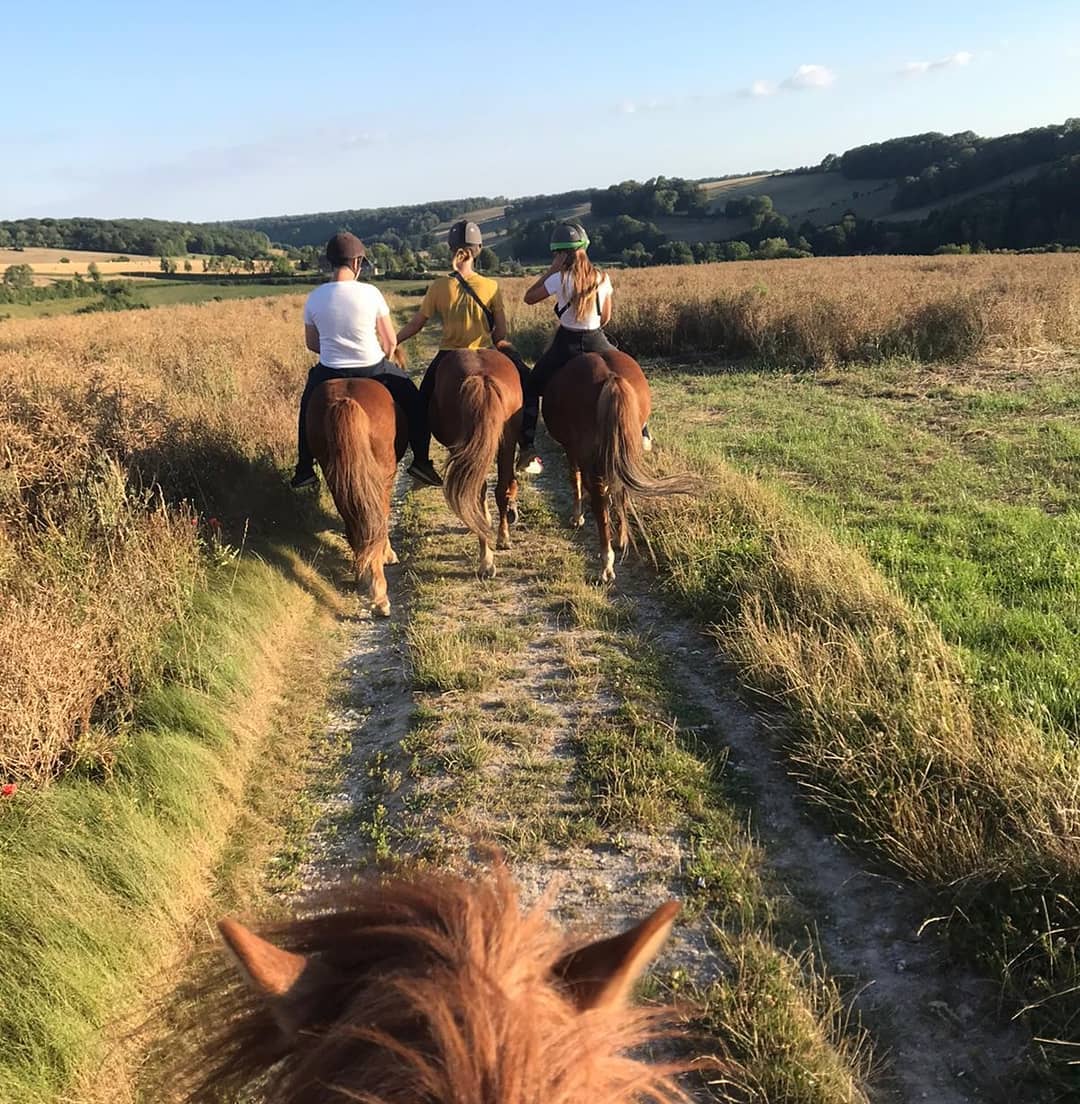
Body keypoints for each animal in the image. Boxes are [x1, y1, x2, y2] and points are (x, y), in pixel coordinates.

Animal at [306, 377, 405, 616]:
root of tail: (345, 401)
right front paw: (389, 555)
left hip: (337, 478)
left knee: (355, 524)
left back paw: (362, 574)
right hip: (381, 474)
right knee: (375, 524)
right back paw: (379, 596)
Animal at [428, 345, 523, 578]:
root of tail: (482, 377)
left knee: (476, 491)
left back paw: (486, 558)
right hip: (506, 441)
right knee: (498, 488)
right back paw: (499, 541)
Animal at [540, 350, 696, 583]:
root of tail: (611, 377)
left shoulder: (572, 449)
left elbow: (575, 479)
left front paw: (577, 518)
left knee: (599, 502)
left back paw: (606, 563)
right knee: (621, 491)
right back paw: (621, 540)